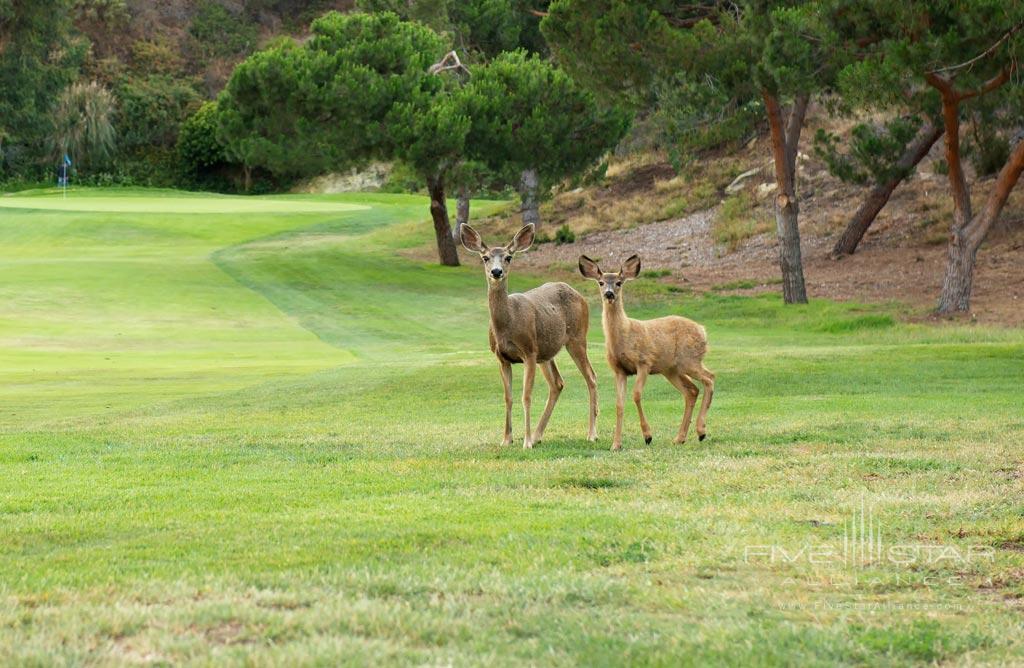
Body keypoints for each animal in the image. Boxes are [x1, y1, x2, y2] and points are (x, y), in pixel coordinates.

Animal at [462, 224, 598, 448]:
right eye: (485, 257)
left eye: (508, 257)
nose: (496, 272)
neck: (507, 324)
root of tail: (580, 295)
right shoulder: (501, 358)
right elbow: (508, 398)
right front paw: (506, 439)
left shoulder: (529, 352)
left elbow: (526, 396)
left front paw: (525, 442)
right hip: (546, 351)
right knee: (557, 383)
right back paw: (538, 435)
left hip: (577, 338)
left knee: (591, 377)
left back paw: (591, 433)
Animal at [581, 253, 716, 450]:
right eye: (601, 282)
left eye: (619, 282)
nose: (609, 293)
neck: (624, 335)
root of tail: (703, 330)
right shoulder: (619, 370)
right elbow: (619, 405)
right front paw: (616, 444)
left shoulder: (644, 362)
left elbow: (636, 395)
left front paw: (647, 436)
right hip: (671, 369)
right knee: (691, 391)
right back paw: (680, 438)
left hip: (689, 360)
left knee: (710, 378)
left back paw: (701, 431)